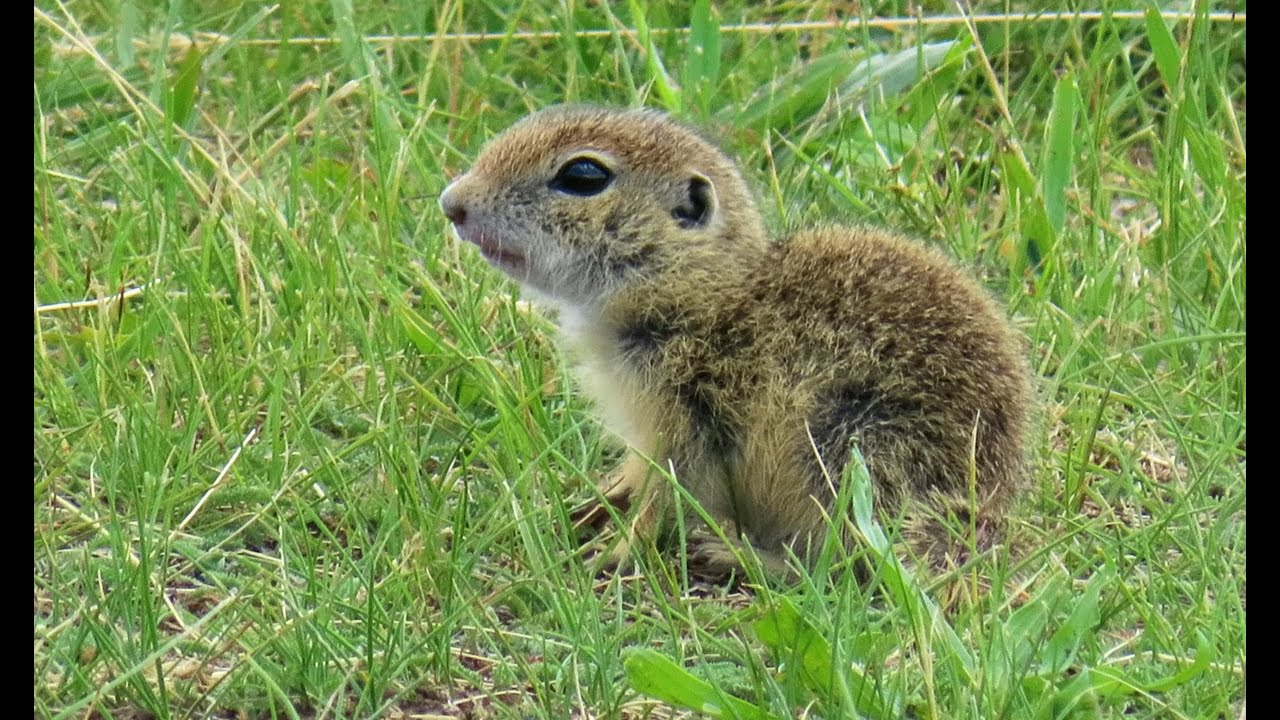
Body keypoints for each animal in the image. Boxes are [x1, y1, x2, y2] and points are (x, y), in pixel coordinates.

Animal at [439, 105, 1033, 578]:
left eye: (583, 175)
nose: (451, 203)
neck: (704, 291)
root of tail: (986, 512)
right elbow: (637, 474)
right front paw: (595, 500)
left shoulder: (688, 413)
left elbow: (666, 493)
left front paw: (615, 552)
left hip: (851, 448)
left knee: (840, 568)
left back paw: (739, 557)